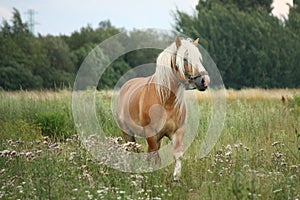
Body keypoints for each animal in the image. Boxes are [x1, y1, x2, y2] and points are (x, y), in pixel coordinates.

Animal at [116, 36, 210, 181]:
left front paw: (176, 177)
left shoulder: (177, 132)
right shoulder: (150, 133)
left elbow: (177, 155)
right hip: (127, 133)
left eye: (199, 59)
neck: (166, 100)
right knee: (131, 151)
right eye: (185, 59)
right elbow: (156, 157)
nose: (205, 81)